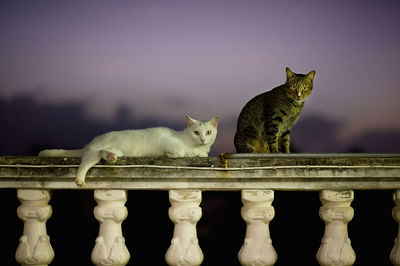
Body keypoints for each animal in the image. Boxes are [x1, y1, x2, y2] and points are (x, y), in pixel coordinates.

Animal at [38, 115, 219, 187]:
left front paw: (201, 153)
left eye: (208, 132)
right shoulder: (167, 141)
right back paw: (80, 180)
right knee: (84, 164)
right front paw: (170, 154)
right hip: (92, 154)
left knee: (103, 154)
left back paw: (110, 157)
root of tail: (92, 142)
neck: (191, 144)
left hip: (112, 151)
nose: (203, 139)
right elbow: (180, 152)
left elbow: (201, 154)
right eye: (196, 132)